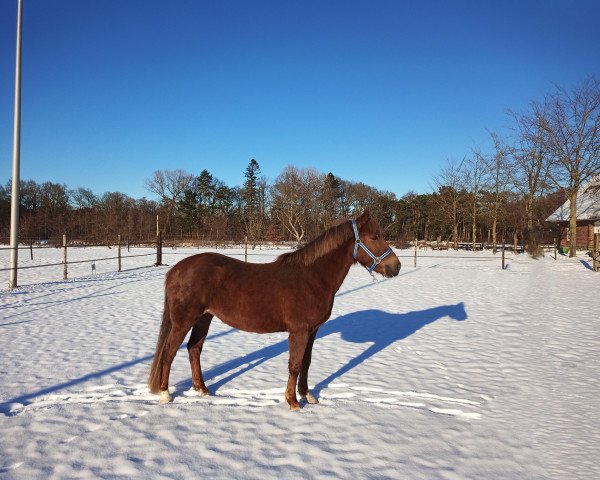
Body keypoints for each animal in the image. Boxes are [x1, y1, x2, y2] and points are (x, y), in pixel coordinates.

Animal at [149, 209, 400, 408]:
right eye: (375, 236)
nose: (396, 267)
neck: (312, 277)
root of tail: (176, 270)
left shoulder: (312, 331)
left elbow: (306, 363)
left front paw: (307, 396)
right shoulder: (299, 331)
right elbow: (294, 365)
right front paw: (293, 401)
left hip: (204, 318)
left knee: (194, 349)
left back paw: (202, 389)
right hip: (184, 321)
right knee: (169, 352)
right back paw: (165, 394)